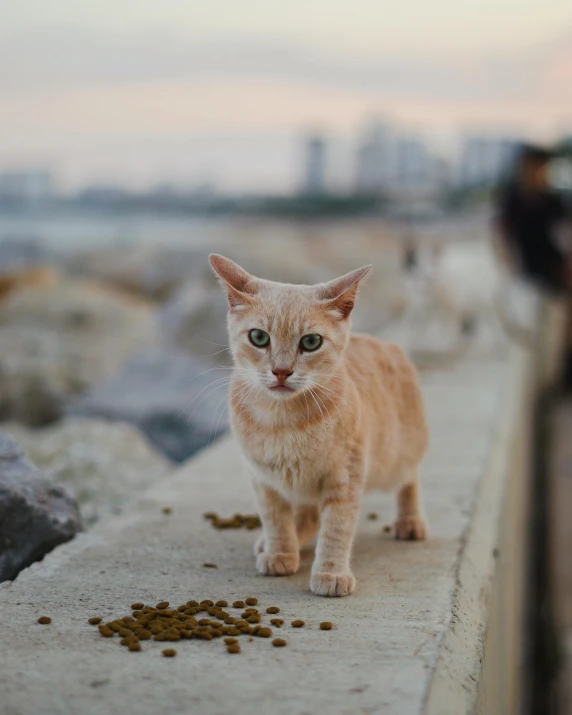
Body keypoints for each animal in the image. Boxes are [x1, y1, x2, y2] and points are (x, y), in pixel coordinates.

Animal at [210, 255, 428, 596]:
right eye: (259, 337)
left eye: (310, 342)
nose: (281, 371)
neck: (284, 423)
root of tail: (387, 343)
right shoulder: (263, 479)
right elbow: (276, 519)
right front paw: (280, 552)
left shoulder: (345, 478)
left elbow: (337, 528)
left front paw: (330, 572)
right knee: (308, 516)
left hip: (397, 458)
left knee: (410, 479)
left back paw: (410, 520)